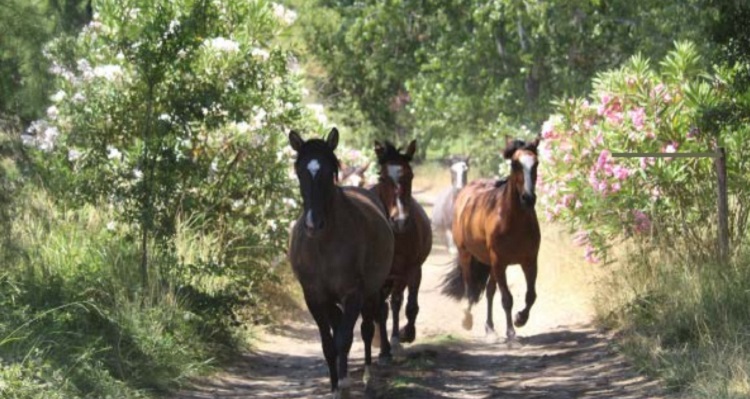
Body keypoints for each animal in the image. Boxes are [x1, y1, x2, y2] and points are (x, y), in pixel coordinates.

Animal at [288, 130, 396, 398]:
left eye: (329, 171)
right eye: (299, 171)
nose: (313, 224)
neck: (323, 244)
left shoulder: (353, 294)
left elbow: (345, 339)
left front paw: (346, 384)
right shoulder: (315, 298)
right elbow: (329, 344)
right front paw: (336, 386)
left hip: (372, 292)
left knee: (368, 328)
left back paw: (367, 377)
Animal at [372, 141, 434, 354]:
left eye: (410, 175)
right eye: (382, 177)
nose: (399, 221)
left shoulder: (412, 270)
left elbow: (410, 306)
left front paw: (405, 334)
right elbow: (380, 309)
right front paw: (384, 349)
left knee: (396, 301)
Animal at [440, 139, 540, 342]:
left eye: (536, 163)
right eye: (515, 164)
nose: (528, 198)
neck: (512, 220)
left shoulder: (530, 261)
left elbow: (530, 295)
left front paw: (520, 319)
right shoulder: (499, 262)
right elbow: (507, 299)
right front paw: (511, 332)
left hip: (490, 263)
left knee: (489, 291)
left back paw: (490, 328)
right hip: (467, 255)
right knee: (470, 288)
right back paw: (467, 319)